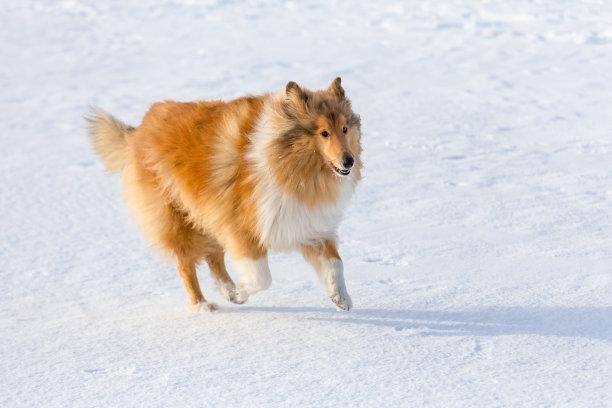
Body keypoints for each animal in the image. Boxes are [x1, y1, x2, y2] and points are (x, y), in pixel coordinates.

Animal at [88, 78, 360, 310]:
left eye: (345, 128)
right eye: (324, 133)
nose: (349, 162)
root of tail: (139, 129)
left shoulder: (310, 223)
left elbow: (336, 263)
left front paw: (341, 297)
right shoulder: (244, 227)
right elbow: (262, 278)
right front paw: (240, 292)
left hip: (207, 216)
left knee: (213, 256)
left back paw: (226, 289)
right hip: (177, 219)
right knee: (186, 264)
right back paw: (203, 305)